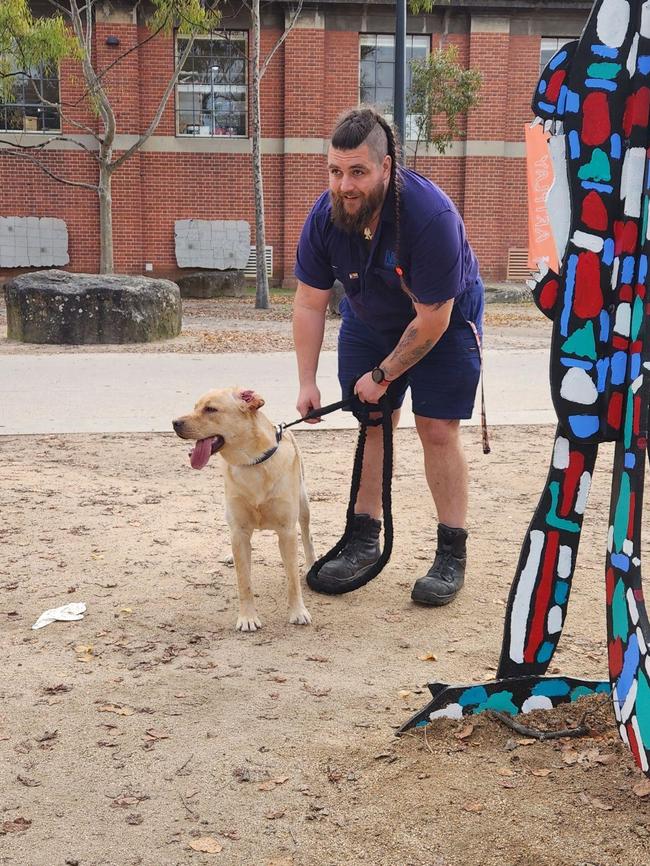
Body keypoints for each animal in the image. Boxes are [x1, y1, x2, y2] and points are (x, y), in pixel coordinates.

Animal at [172, 388, 314, 632]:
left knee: (306, 534)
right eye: (195, 407)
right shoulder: (239, 530)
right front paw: (247, 617)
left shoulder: (287, 531)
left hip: (303, 504)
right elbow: (244, 581)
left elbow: (292, 579)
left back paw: (311, 563)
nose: (174, 423)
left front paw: (298, 611)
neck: (252, 463)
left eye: (210, 409)